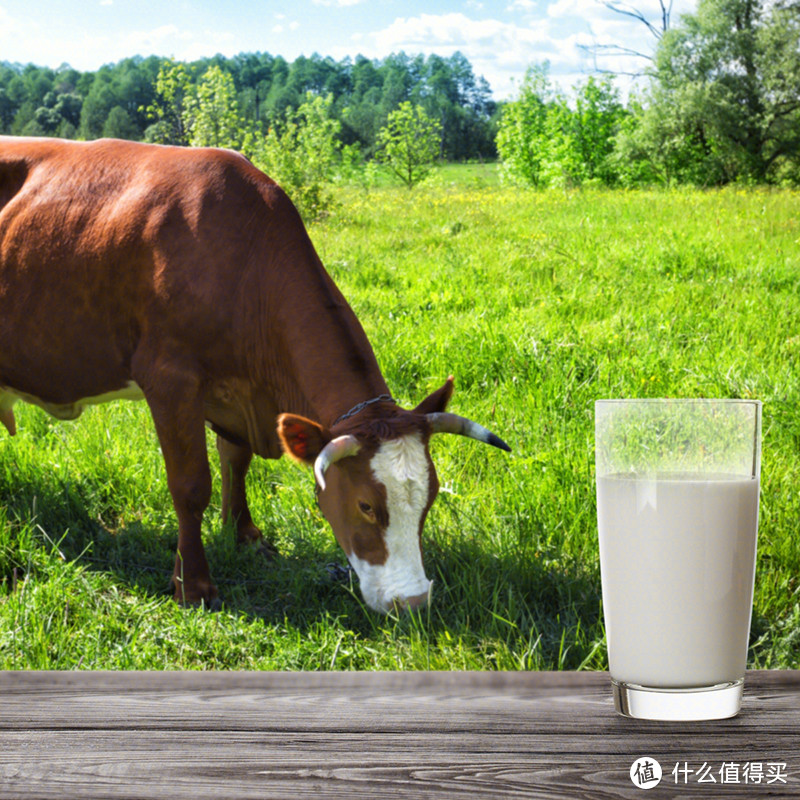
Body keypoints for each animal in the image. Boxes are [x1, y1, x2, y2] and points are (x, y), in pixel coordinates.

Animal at [0, 138, 512, 612]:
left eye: (430, 498)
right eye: (367, 505)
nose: (413, 602)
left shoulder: (236, 392)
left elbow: (236, 460)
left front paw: (243, 533)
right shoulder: (169, 378)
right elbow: (190, 486)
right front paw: (193, 585)